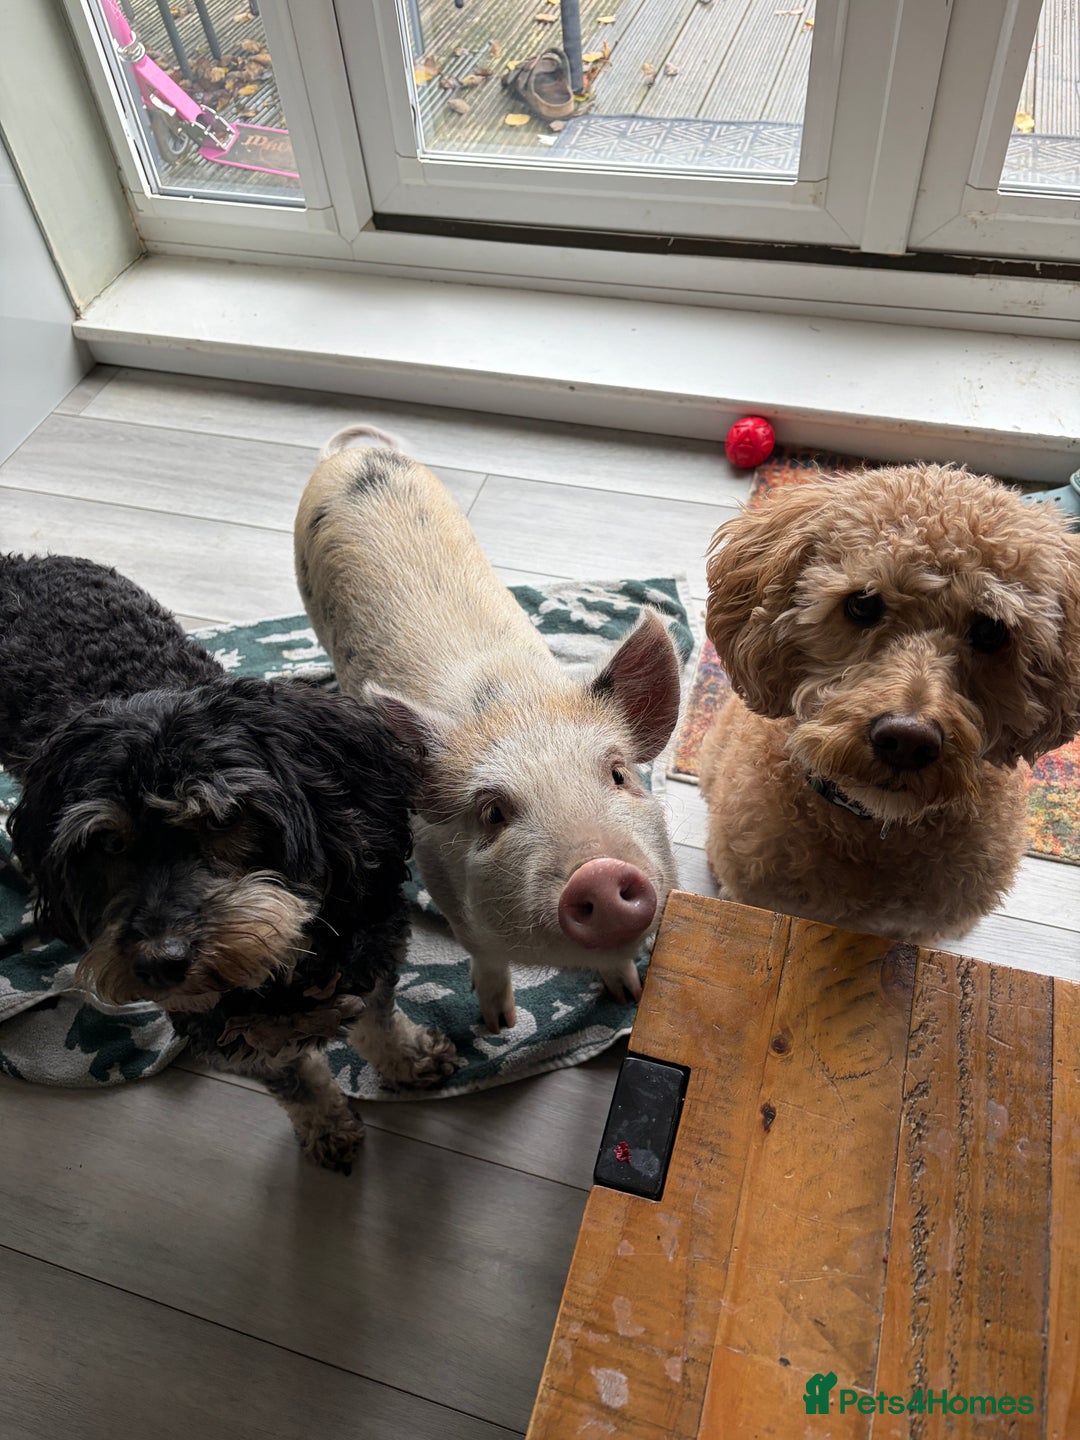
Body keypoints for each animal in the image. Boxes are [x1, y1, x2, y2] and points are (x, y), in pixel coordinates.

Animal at [294, 425, 683, 1031]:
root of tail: (351, 454)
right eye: (493, 813)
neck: (511, 701)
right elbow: (484, 955)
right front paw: (499, 1025)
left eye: (620, 775)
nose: (597, 873)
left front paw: (627, 996)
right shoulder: (442, 883)